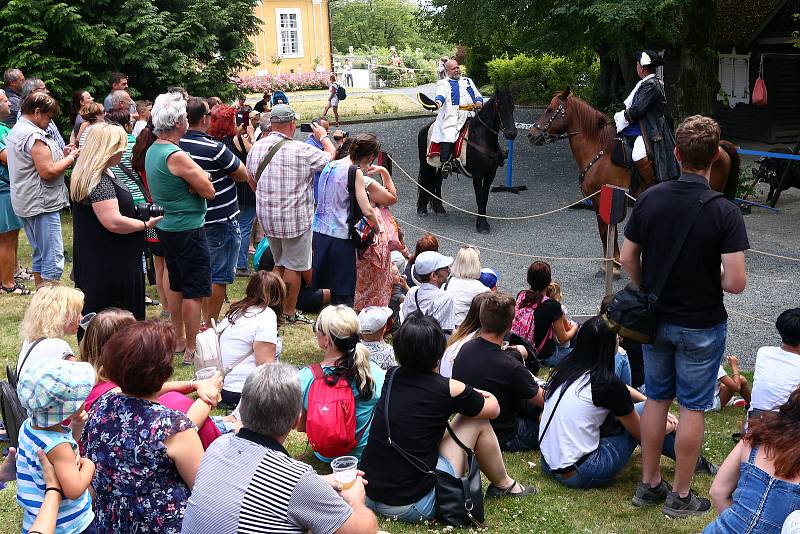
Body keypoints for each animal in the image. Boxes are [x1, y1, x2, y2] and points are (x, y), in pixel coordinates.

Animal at [416, 88, 516, 234]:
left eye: (513, 106)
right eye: (500, 106)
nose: (511, 133)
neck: (482, 137)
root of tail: (426, 127)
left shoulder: (490, 174)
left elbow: (484, 197)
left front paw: (482, 221)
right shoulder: (478, 174)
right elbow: (479, 197)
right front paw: (482, 225)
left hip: (439, 167)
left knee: (437, 183)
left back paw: (440, 209)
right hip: (425, 164)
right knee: (423, 182)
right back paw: (422, 209)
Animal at [524, 89, 736, 276]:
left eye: (550, 109)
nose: (531, 134)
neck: (599, 150)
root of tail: (719, 146)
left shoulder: (604, 200)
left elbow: (607, 232)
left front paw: (614, 267)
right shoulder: (598, 203)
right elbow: (605, 232)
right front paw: (609, 264)